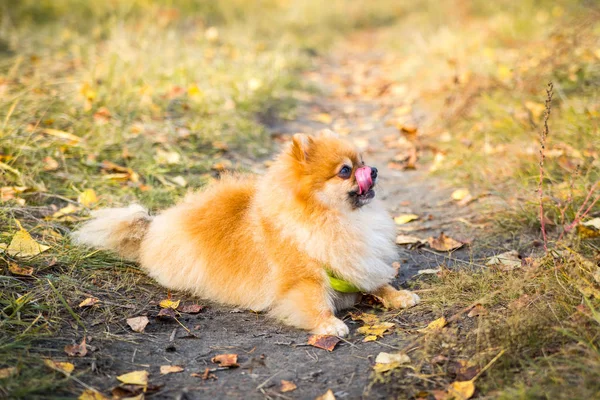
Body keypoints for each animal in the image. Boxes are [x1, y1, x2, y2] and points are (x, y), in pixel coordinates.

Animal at [72, 130, 420, 334]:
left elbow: (378, 282)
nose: (373, 170)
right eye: (346, 171)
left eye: (363, 161)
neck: (331, 218)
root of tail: (154, 226)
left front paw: (398, 295)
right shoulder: (303, 278)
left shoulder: (357, 262)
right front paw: (328, 324)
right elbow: (313, 301)